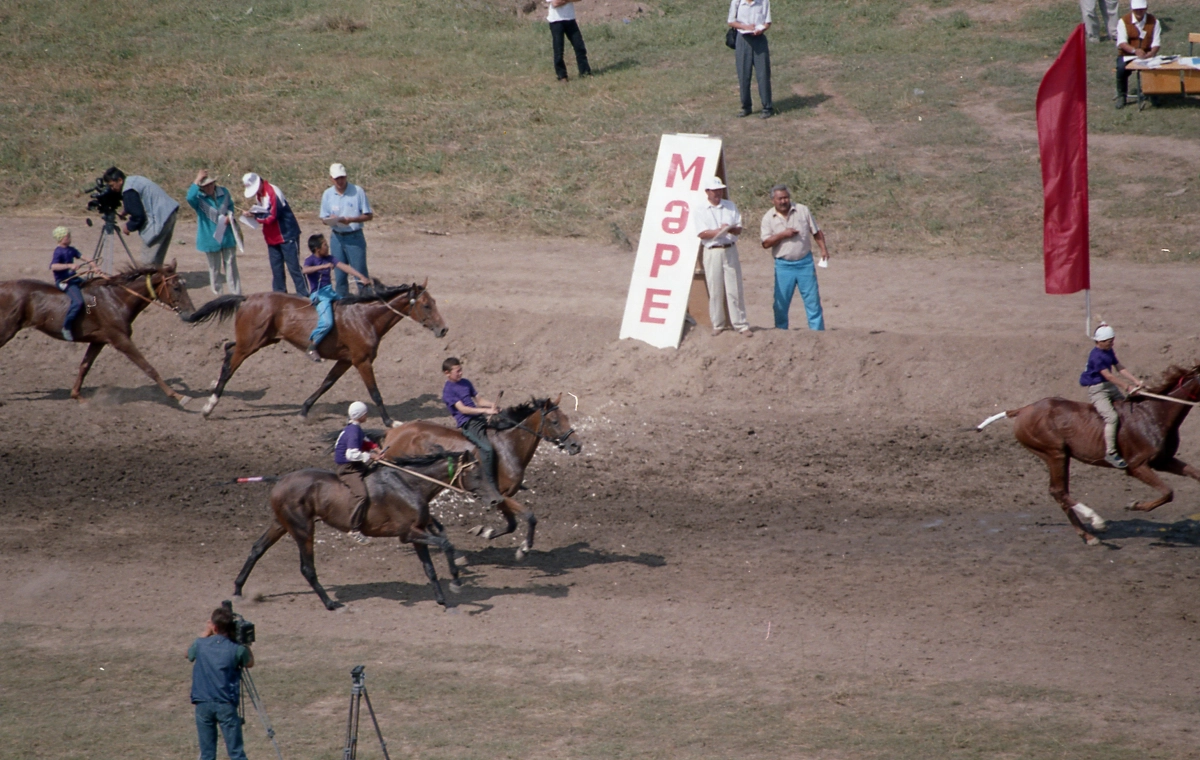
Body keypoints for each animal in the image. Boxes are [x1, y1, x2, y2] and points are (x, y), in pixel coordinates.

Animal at [0, 260, 194, 403]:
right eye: (176, 287)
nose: (191, 312)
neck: (116, 299)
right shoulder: (121, 339)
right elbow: (148, 367)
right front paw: (178, 396)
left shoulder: (99, 340)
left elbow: (85, 366)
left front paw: (76, 395)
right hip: (7, 329)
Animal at [182, 282, 451, 427]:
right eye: (427, 305)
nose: (443, 329)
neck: (365, 318)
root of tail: (247, 297)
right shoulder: (362, 361)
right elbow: (375, 393)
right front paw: (390, 422)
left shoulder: (345, 361)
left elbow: (326, 384)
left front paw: (304, 410)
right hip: (250, 344)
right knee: (230, 365)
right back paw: (209, 406)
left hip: (261, 340)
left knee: (228, 349)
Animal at [231, 451, 484, 609]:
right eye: (475, 473)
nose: (487, 497)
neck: (409, 484)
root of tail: (281, 479)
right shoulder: (408, 534)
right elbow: (445, 544)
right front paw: (456, 582)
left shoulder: (418, 533)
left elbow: (430, 567)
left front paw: (442, 598)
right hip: (302, 529)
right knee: (307, 568)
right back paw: (331, 603)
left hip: (282, 524)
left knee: (257, 549)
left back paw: (237, 590)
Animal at [374, 396, 580, 557]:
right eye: (555, 422)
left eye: (567, 418)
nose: (577, 445)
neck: (509, 446)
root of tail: (392, 432)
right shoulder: (501, 495)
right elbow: (529, 516)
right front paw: (524, 548)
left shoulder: (500, 498)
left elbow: (512, 525)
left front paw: (485, 532)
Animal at [979, 364, 1200, 542]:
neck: (1153, 414)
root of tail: (1024, 409)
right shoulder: (1137, 466)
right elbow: (1167, 492)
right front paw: (1134, 505)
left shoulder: (1163, 461)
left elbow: (1190, 477)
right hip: (1054, 453)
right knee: (1058, 491)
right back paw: (1096, 521)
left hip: (1060, 456)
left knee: (1061, 492)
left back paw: (1087, 534)